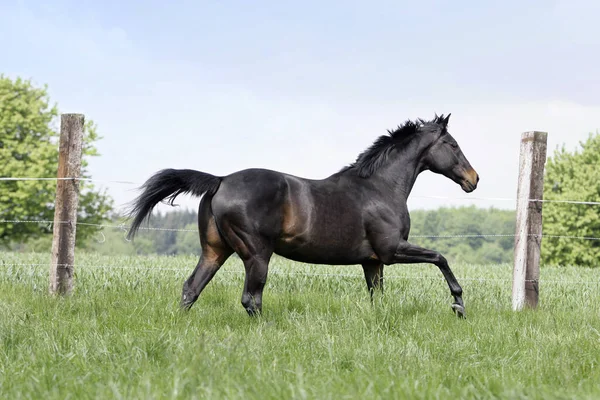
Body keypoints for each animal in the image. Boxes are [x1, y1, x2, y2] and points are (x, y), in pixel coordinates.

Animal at [125, 113, 478, 318]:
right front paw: (458, 305)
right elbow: (441, 258)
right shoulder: (392, 251)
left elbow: (378, 297)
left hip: (214, 251)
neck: (379, 187)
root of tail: (220, 180)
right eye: (453, 144)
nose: (473, 179)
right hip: (256, 254)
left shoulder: (373, 261)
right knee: (251, 299)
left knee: (191, 289)